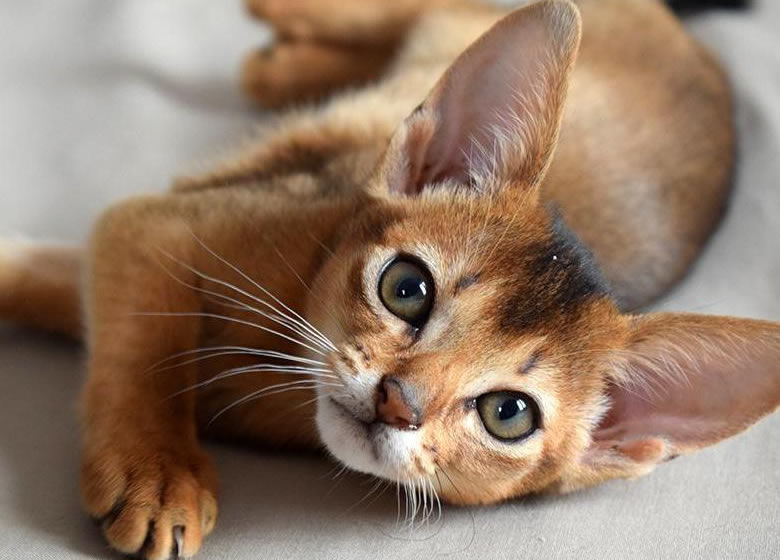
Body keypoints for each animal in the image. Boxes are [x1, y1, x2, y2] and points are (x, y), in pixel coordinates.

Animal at [1, 1, 780, 560]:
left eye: (509, 414)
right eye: (406, 288)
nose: (397, 402)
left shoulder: (113, 250)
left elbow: (45, 281)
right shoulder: (152, 227)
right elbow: (146, 349)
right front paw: (158, 471)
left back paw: (284, 68)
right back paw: (283, 18)